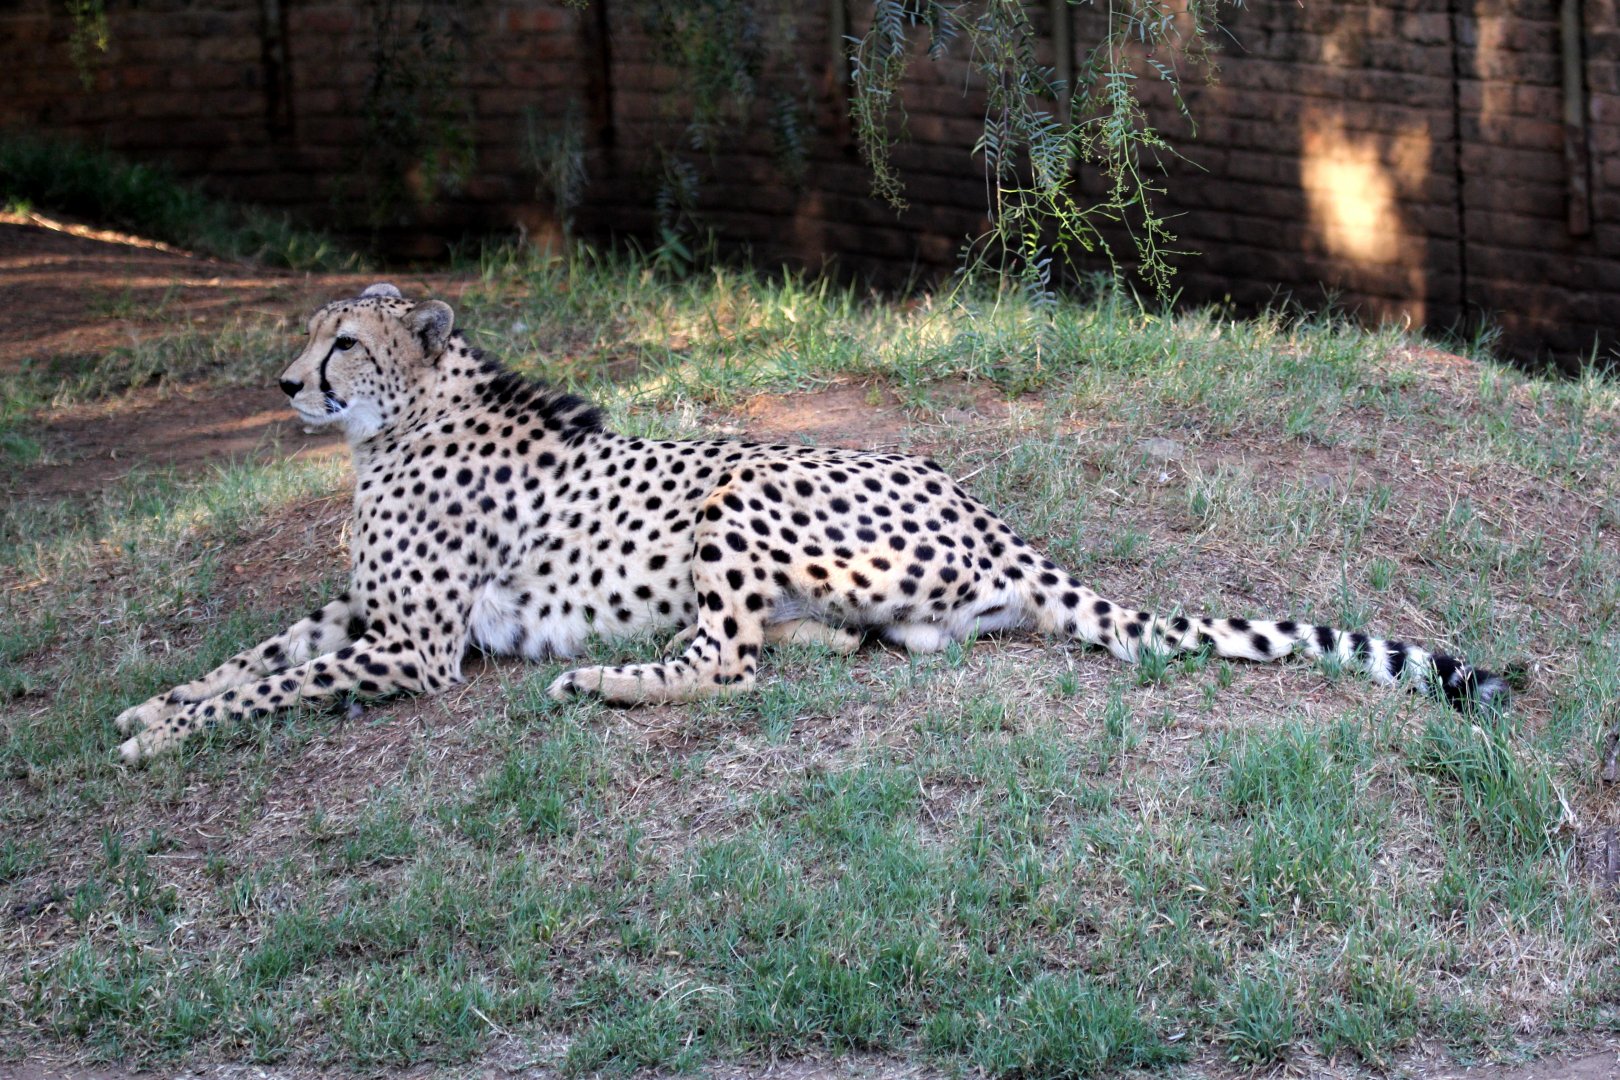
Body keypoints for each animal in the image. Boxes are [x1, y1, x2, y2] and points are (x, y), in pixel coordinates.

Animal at [112, 283, 1508, 762]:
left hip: (738, 485)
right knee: (836, 646)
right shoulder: (362, 611)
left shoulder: (411, 647)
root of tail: (983, 505)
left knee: (725, 662)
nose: (285, 384)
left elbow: (271, 683)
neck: (403, 421)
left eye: (343, 342)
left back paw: (603, 682)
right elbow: (256, 657)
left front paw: (161, 732)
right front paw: (152, 707)